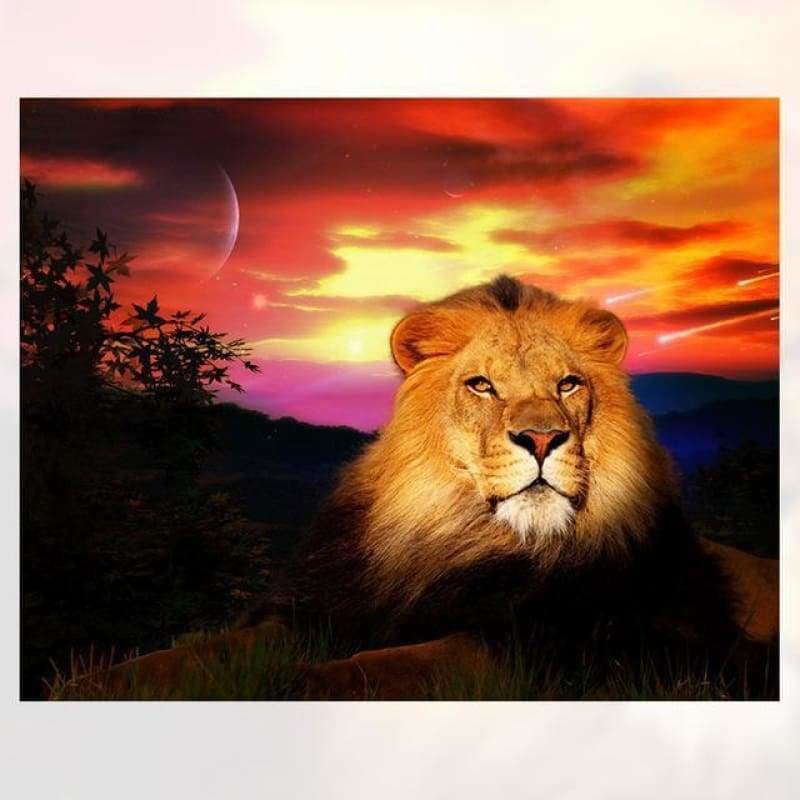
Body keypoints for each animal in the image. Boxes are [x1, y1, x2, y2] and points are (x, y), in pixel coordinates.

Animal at [95, 276, 778, 699]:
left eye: (568, 384)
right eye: (481, 385)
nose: (541, 439)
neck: (462, 536)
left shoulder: (563, 642)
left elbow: (405, 661)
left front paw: (297, 684)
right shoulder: (321, 605)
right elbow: (198, 650)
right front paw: (97, 683)